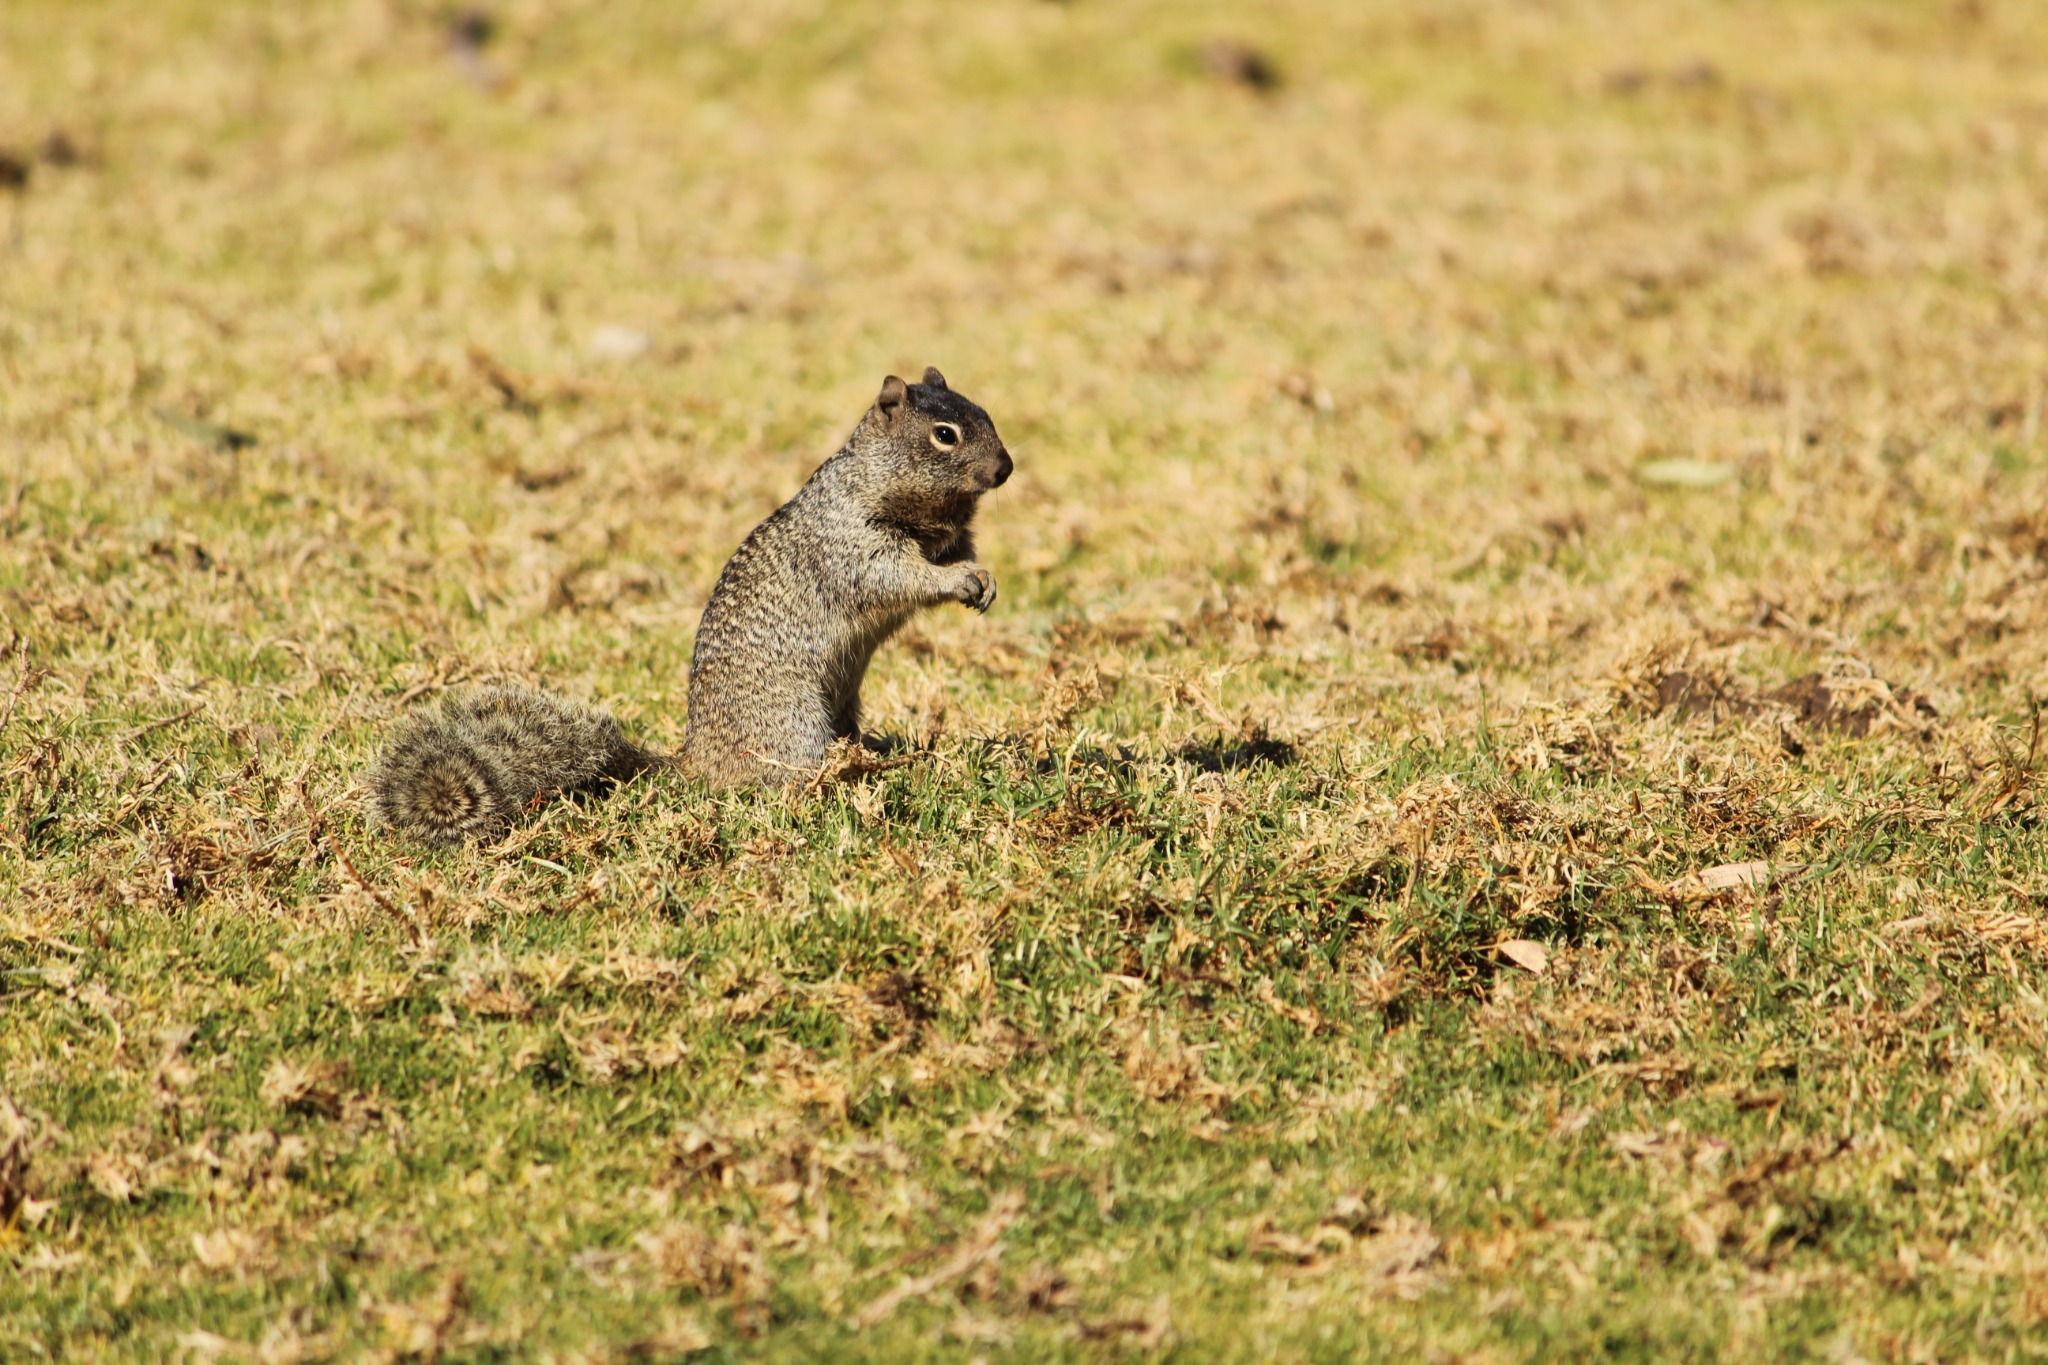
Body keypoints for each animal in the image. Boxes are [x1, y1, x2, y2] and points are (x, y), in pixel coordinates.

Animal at [364, 367, 1013, 845]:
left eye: (984, 411)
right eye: (945, 434)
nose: (1005, 468)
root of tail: (697, 759)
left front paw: (984, 578)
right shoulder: (853, 542)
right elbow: (895, 575)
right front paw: (958, 580)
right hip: (793, 720)